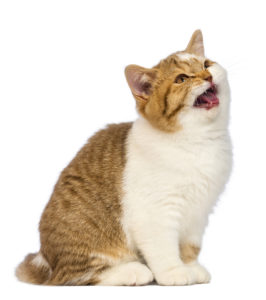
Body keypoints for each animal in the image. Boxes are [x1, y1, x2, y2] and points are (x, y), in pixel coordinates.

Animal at [16, 30, 233, 286]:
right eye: (181, 79)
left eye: (206, 64)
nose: (207, 75)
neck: (197, 139)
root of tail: (44, 260)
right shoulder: (154, 212)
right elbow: (163, 248)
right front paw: (174, 272)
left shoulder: (199, 212)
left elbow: (190, 246)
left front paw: (191, 266)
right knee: (76, 275)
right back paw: (132, 271)